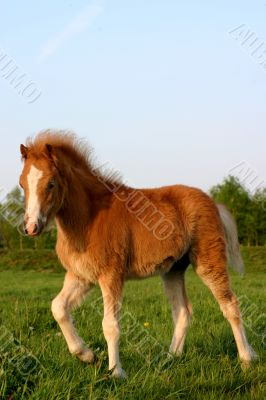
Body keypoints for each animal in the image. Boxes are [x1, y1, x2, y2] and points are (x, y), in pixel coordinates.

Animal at [19, 131, 258, 378]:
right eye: (22, 185)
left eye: (50, 184)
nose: (31, 227)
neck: (88, 218)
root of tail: (213, 202)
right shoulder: (81, 276)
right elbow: (58, 308)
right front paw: (86, 355)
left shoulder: (111, 275)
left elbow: (110, 325)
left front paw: (116, 372)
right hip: (173, 270)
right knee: (183, 312)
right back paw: (170, 358)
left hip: (208, 260)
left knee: (230, 305)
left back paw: (246, 359)